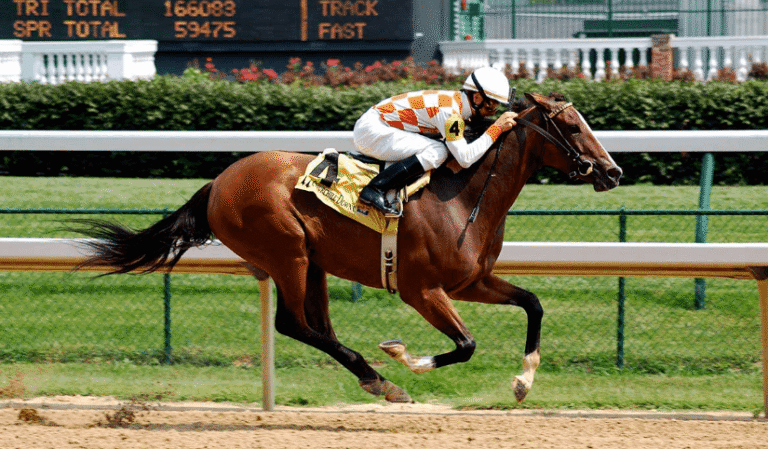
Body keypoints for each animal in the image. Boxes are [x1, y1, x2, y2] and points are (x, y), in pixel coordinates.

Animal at [73, 92, 622, 404]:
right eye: (572, 126)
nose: (613, 171)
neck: (465, 195)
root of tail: (218, 182)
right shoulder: (422, 290)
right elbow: (466, 345)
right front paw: (404, 356)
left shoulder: (471, 281)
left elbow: (533, 303)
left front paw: (524, 381)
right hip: (287, 252)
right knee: (294, 324)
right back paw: (382, 378)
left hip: (312, 262)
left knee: (318, 327)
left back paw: (374, 379)